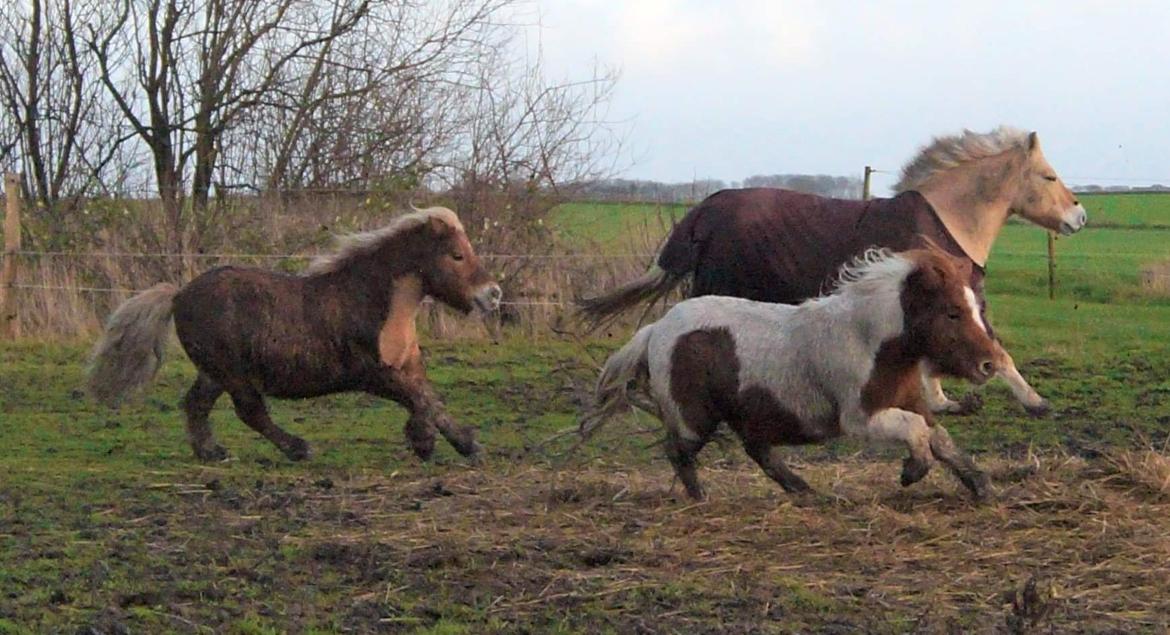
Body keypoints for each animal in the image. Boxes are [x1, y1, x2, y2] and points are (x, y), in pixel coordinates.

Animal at [84, 206, 500, 463]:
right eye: (457, 255)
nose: (492, 294)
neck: (376, 301)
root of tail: (179, 294)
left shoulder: (408, 366)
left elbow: (432, 401)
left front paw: (467, 445)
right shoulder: (371, 373)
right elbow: (419, 400)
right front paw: (424, 442)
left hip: (214, 373)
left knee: (195, 405)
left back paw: (213, 453)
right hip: (233, 374)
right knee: (250, 412)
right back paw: (298, 448)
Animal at [580, 127, 1090, 420]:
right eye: (1048, 176)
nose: (1080, 217)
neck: (945, 223)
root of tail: (705, 210)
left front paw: (944, 402)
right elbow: (997, 351)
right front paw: (1036, 402)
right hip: (717, 289)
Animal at [582, 247, 1006, 502]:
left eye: (976, 307)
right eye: (952, 312)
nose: (990, 365)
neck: (871, 341)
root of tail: (657, 329)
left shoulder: (908, 402)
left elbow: (939, 436)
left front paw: (981, 485)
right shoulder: (859, 418)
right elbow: (917, 432)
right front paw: (912, 471)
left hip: (744, 416)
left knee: (759, 452)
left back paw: (803, 490)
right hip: (694, 418)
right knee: (680, 452)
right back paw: (702, 498)